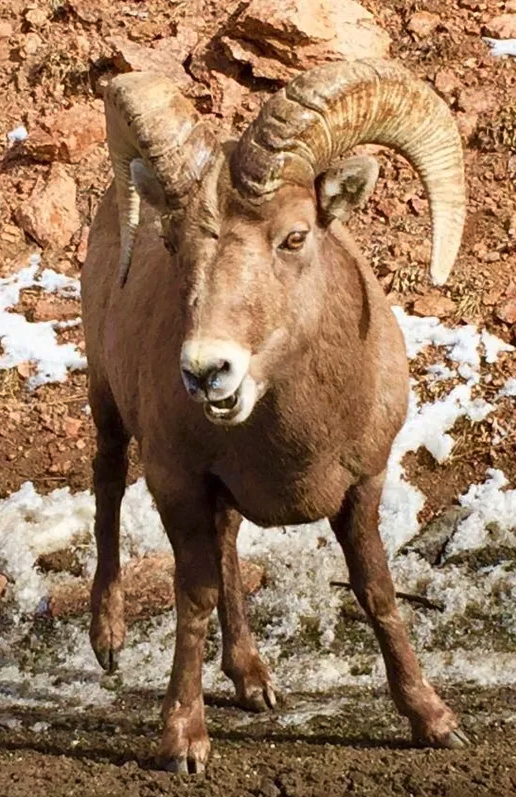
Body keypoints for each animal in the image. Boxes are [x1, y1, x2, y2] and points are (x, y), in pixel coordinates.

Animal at [81, 60, 468, 772]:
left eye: (295, 236)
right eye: (172, 243)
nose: (207, 371)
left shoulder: (363, 484)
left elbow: (376, 590)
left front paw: (433, 720)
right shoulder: (176, 483)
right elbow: (194, 596)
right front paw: (183, 740)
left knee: (229, 543)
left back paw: (253, 679)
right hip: (107, 405)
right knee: (107, 487)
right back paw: (109, 641)